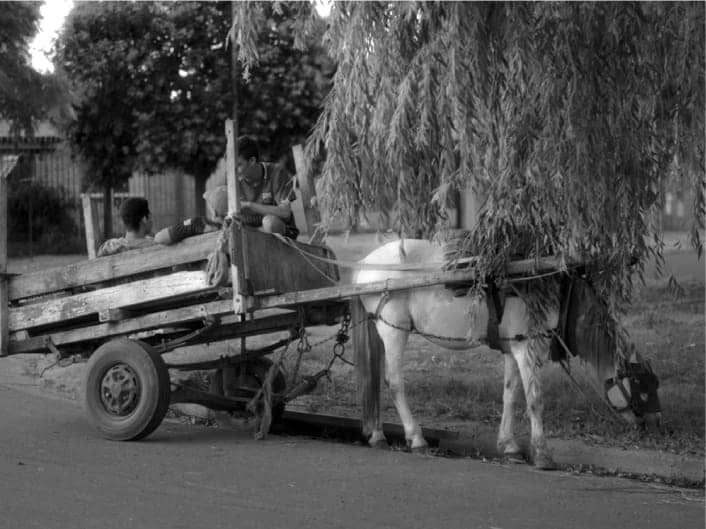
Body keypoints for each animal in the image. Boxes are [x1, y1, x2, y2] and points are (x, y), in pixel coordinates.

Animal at [352, 238, 660, 466]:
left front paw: (509, 446)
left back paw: (377, 435)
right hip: (394, 330)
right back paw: (416, 438)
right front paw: (542, 453)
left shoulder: (514, 348)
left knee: (373, 379)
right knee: (394, 382)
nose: (654, 424)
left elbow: (511, 394)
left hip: (380, 329)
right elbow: (535, 399)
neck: (558, 292)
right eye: (642, 386)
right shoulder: (528, 348)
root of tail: (364, 265)